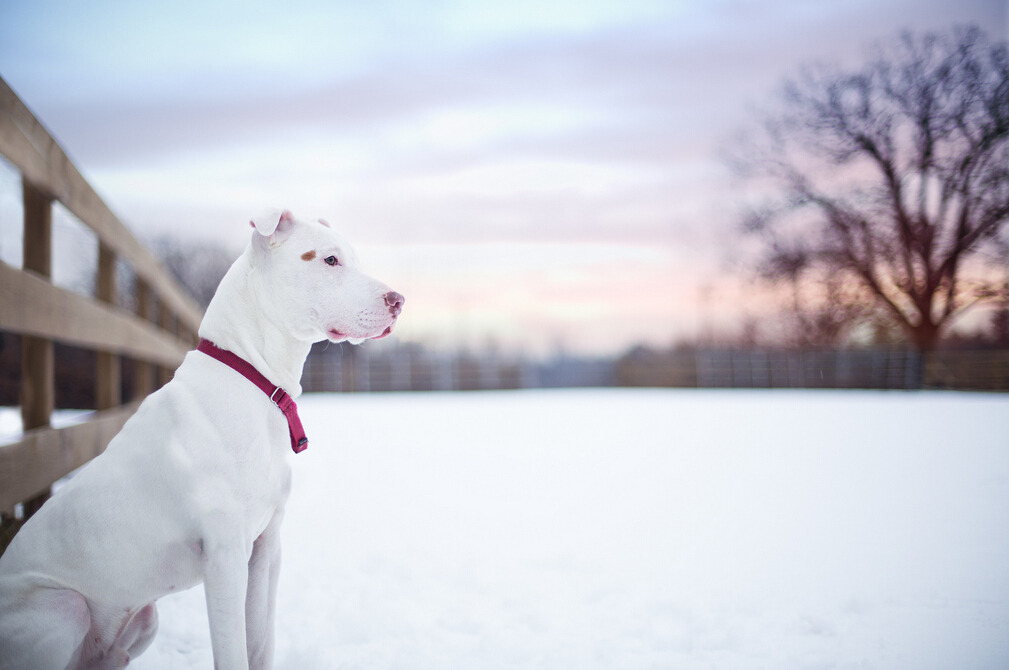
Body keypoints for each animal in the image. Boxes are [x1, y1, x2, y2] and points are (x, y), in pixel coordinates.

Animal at [0, 212, 401, 670]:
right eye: (330, 260)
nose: (399, 300)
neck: (256, 381)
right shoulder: (226, 556)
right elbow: (233, 651)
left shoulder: (265, 549)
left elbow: (260, 643)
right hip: (65, 606)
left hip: (141, 623)